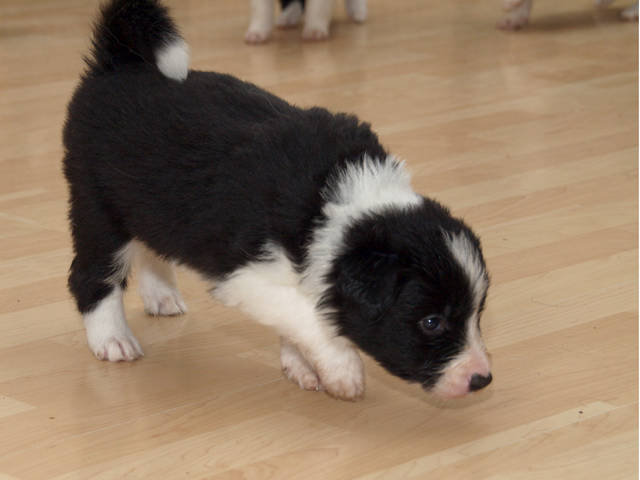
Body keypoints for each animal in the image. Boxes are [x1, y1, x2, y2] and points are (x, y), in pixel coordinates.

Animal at [63, 0, 493, 401]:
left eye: (477, 312)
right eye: (432, 322)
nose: (481, 379)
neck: (336, 202)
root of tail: (119, 62)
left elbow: (300, 312)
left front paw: (299, 364)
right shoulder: (246, 275)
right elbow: (305, 314)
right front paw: (341, 369)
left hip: (150, 204)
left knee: (151, 246)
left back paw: (161, 295)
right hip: (98, 208)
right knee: (91, 275)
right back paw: (112, 339)